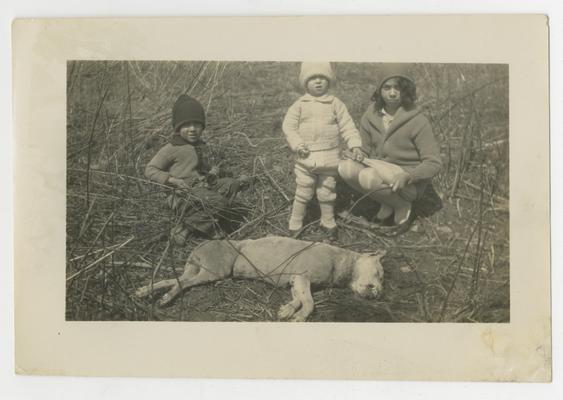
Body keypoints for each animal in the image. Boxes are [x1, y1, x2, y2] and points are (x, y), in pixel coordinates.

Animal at [135, 236, 386, 320]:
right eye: (379, 273)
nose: (378, 293)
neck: (341, 261)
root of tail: (201, 245)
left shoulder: (295, 280)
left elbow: (298, 299)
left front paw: (286, 311)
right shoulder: (302, 277)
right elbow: (309, 302)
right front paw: (299, 317)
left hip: (196, 269)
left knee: (173, 279)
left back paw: (145, 291)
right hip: (213, 271)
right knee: (181, 283)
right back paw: (165, 299)